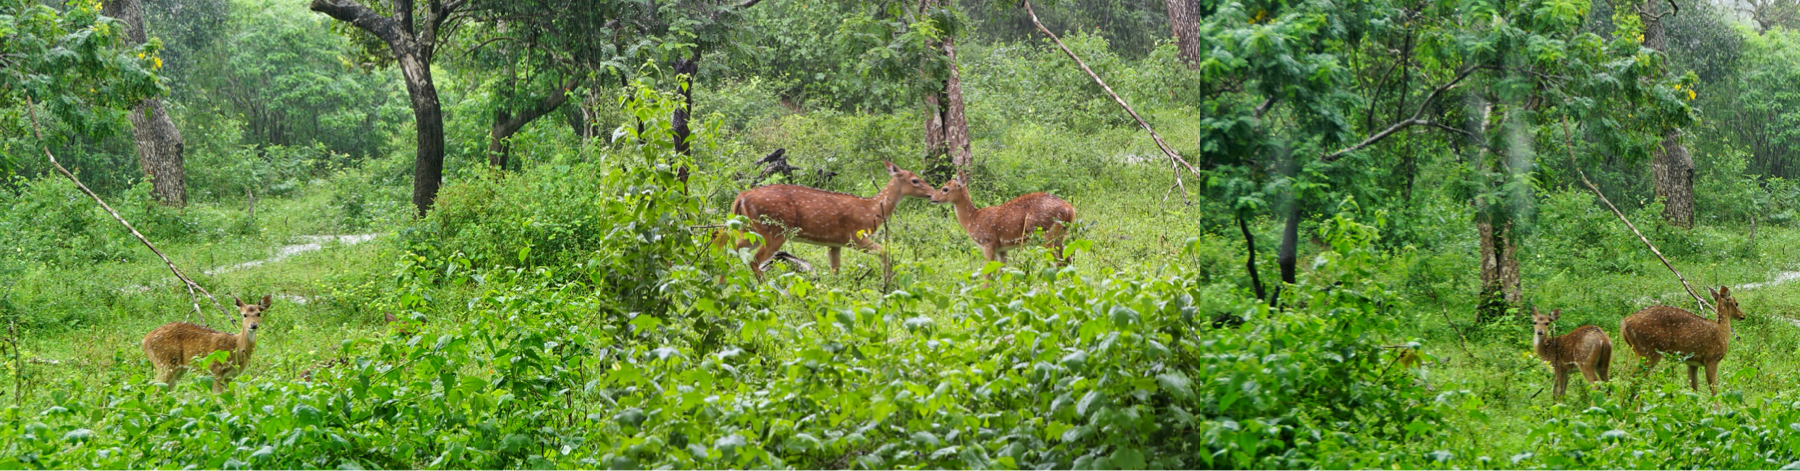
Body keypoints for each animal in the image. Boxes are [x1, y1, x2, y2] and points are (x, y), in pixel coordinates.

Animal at [716, 159, 943, 282]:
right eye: (915, 180)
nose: (933, 194)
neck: (871, 211)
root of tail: (741, 197)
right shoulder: (855, 237)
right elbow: (886, 252)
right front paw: (889, 284)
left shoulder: (835, 243)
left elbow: (835, 271)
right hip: (774, 230)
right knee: (753, 259)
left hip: (752, 229)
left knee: (729, 249)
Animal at [928, 168, 1065, 264]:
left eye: (945, 189)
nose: (932, 197)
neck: (972, 219)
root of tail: (1068, 209)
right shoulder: (1002, 249)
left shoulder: (988, 242)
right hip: (1060, 236)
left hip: (1044, 235)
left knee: (1056, 263)